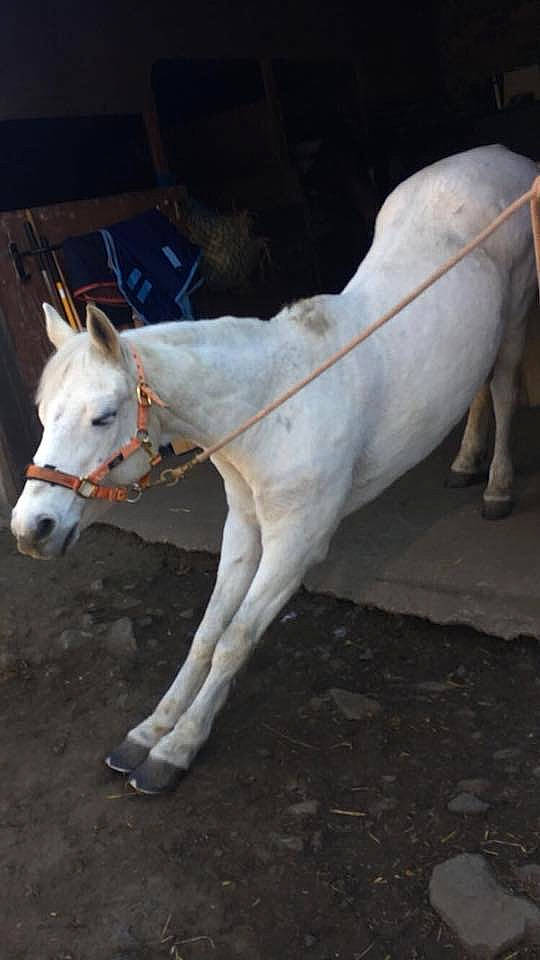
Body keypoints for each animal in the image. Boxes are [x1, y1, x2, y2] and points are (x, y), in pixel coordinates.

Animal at [11, 145, 538, 794]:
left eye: (104, 416)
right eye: (42, 415)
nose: (30, 528)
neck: (271, 406)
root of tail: (501, 155)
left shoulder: (295, 543)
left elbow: (234, 640)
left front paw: (175, 749)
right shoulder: (244, 527)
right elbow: (206, 633)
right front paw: (149, 731)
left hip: (516, 318)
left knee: (505, 388)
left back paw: (496, 488)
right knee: (478, 389)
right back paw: (464, 463)